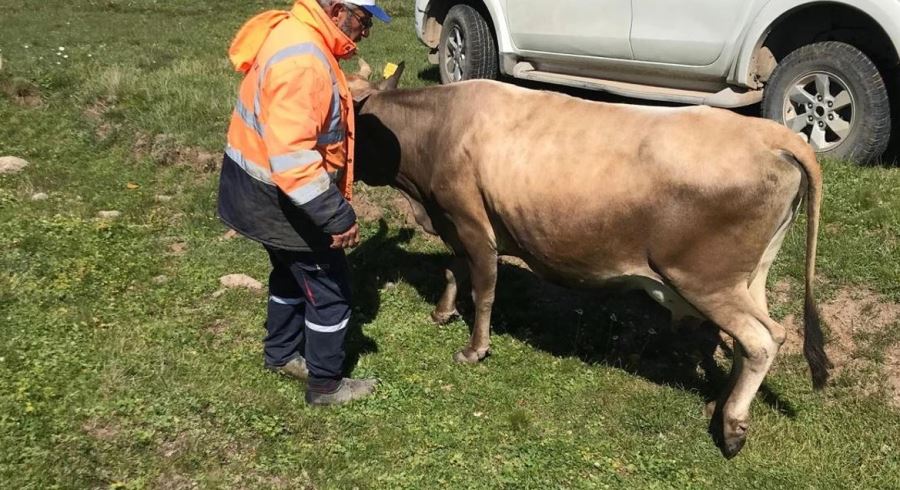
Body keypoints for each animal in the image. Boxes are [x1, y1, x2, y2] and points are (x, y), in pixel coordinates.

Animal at [346, 67, 828, 458]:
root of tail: (770, 135)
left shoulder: (471, 223)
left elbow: (484, 290)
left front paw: (474, 349)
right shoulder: (453, 222)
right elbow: (453, 269)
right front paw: (442, 312)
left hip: (705, 279)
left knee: (764, 339)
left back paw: (731, 427)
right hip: (750, 276)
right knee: (762, 335)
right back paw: (720, 402)